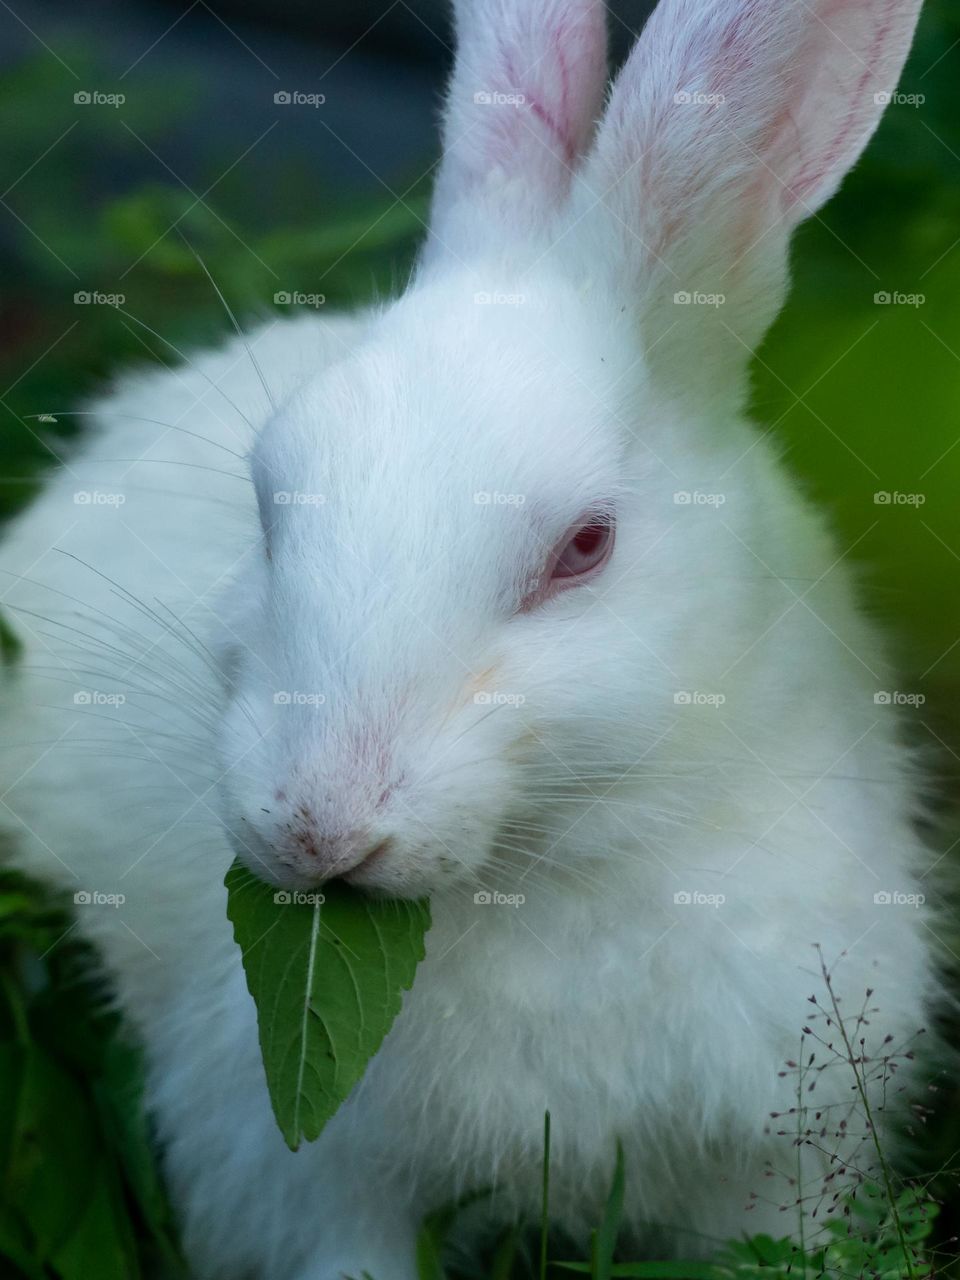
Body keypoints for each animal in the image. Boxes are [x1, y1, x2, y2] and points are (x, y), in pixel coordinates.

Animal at [0, 0, 937, 1276]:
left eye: (584, 546)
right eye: (267, 496)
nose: (317, 825)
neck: (555, 862)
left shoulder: (784, 1151)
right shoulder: (309, 1177)